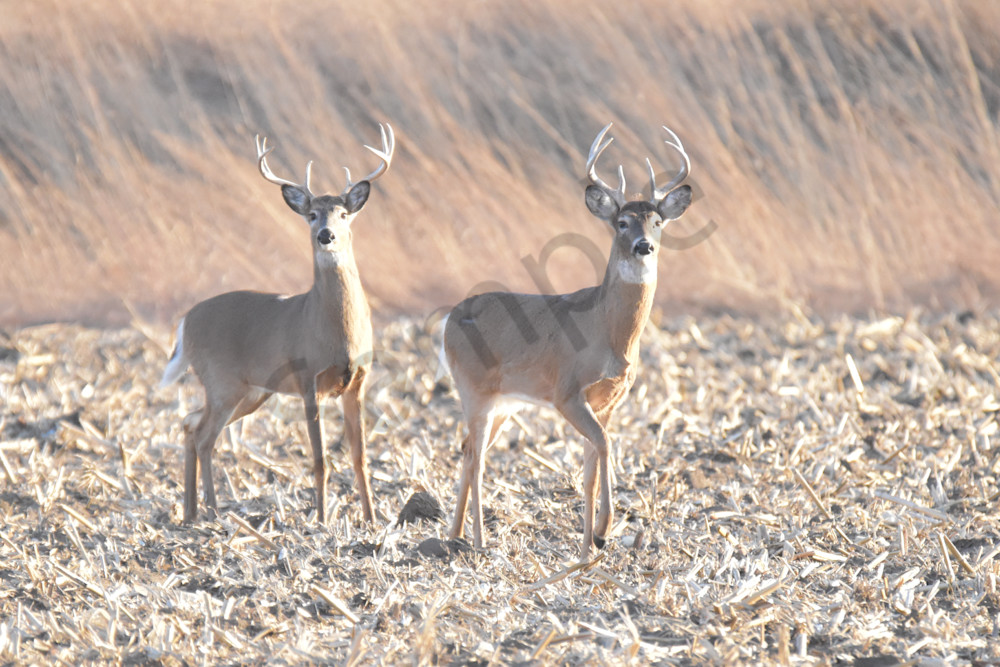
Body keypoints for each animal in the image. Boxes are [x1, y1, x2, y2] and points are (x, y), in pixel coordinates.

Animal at [160, 124, 395, 526]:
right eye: (312, 214)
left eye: (343, 213)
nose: (326, 235)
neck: (337, 333)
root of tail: (186, 321)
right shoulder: (308, 378)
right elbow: (319, 460)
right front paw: (322, 520)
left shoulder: (358, 382)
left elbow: (360, 457)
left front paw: (372, 519)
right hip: (222, 381)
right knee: (205, 435)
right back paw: (212, 511)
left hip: (250, 391)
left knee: (190, 423)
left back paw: (190, 512)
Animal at [442, 123, 693, 560]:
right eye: (622, 222)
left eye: (658, 221)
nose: (644, 246)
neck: (610, 336)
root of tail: (449, 319)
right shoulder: (567, 392)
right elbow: (605, 446)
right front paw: (604, 530)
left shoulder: (608, 402)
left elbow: (592, 467)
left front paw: (590, 545)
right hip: (473, 389)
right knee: (477, 458)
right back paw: (479, 540)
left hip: (505, 402)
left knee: (469, 450)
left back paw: (455, 534)